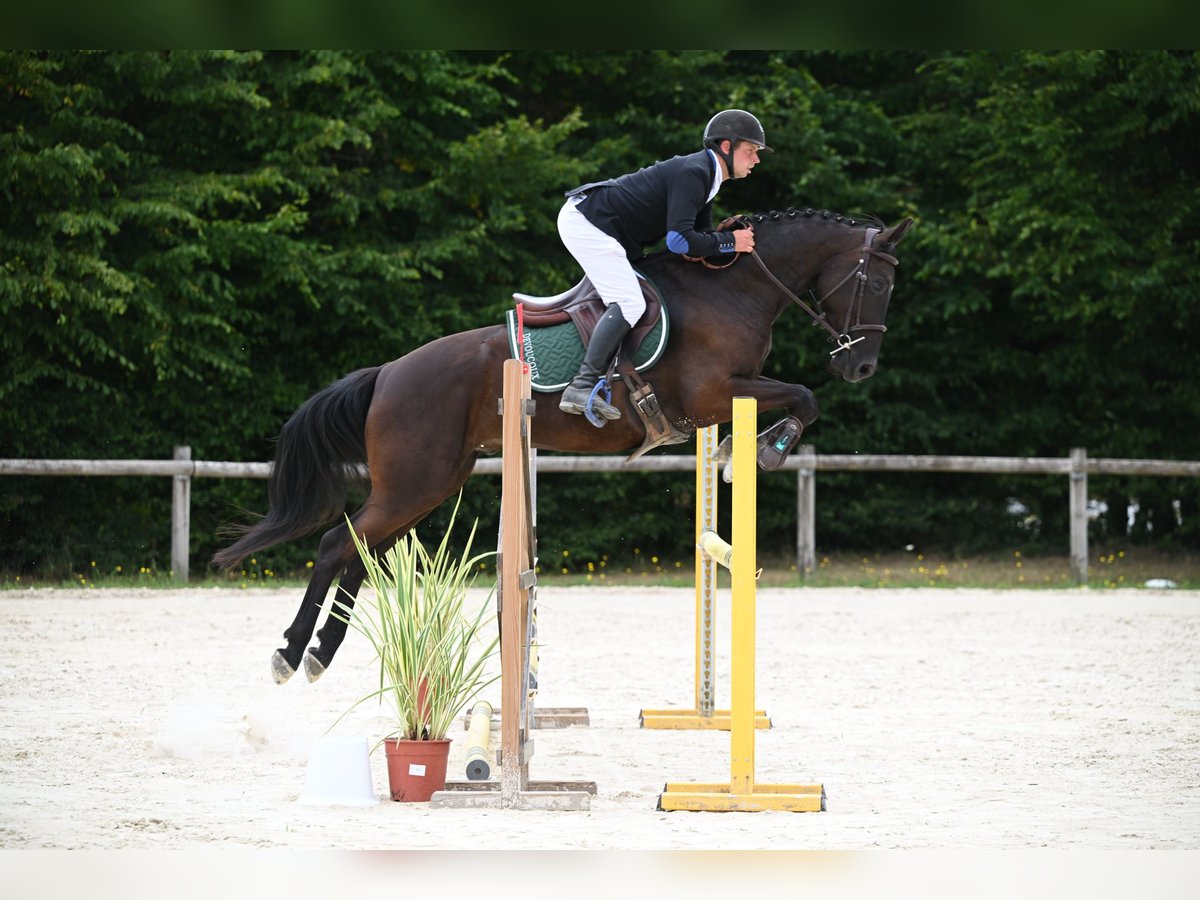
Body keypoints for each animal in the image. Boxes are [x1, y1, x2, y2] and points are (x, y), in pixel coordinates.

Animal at [213, 207, 914, 684]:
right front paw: (763, 453)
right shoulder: (715, 395)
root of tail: (387, 372)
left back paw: (320, 653)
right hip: (415, 482)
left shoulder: (724, 398)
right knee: (340, 544)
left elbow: (801, 397)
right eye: (877, 285)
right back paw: (291, 652)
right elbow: (803, 396)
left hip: (431, 483)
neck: (732, 288)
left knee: (362, 552)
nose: (861, 367)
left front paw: (740, 455)